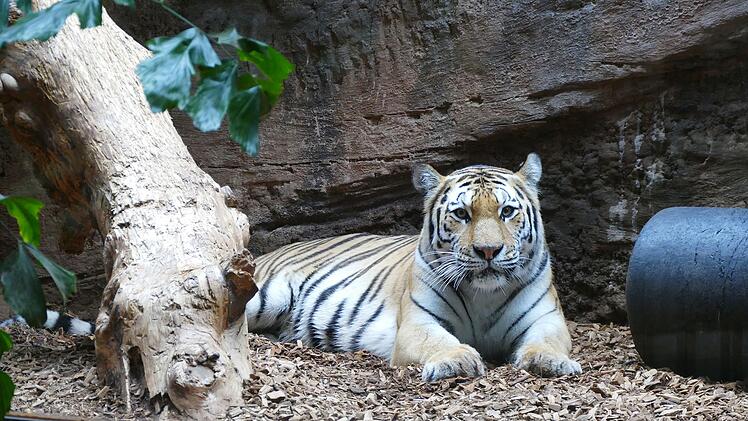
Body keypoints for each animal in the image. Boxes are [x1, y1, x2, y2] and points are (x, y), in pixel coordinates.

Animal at [246, 153, 581, 381]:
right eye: (461, 214)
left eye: (507, 211)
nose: (488, 250)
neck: (484, 295)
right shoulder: (417, 323)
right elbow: (438, 340)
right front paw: (456, 360)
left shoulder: (547, 318)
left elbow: (547, 341)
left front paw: (550, 361)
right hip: (267, 296)